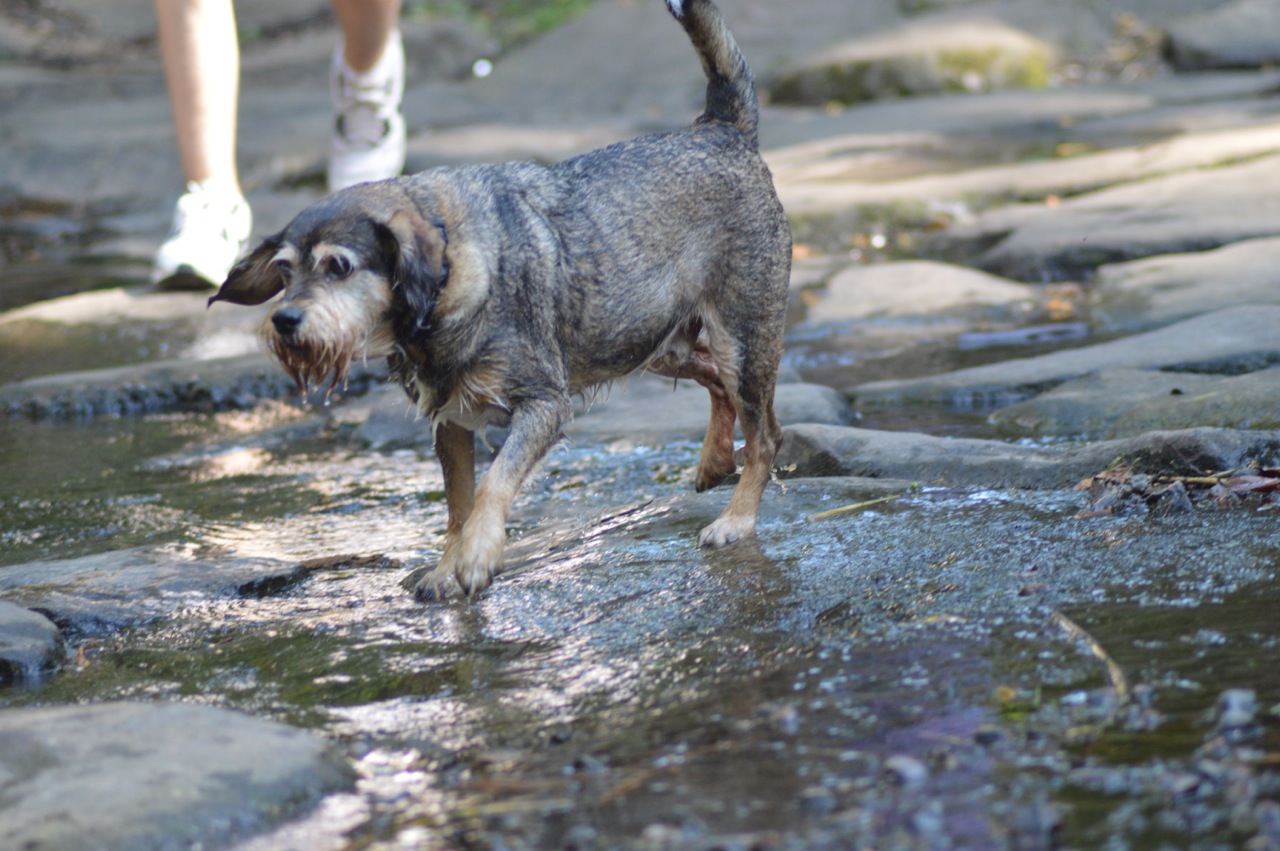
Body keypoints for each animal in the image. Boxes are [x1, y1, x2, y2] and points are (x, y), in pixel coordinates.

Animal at [208, 0, 792, 600]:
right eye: (283, 271)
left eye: (339, 267)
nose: (284, 320)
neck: (439, 296)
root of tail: (722, 128)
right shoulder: (451, 424)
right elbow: (457, 506)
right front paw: (448, 565)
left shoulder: (543, 405)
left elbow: (494, 484)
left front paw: (477, 557)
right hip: (647, 340)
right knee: (715, 382)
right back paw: (713, 461)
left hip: (742, 337)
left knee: (765, 433)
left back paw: (736, 519)